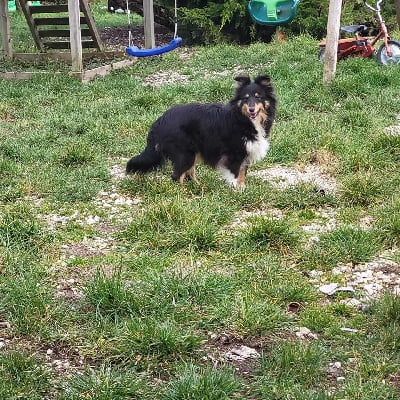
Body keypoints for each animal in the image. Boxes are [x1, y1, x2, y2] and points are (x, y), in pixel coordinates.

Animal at [126, 75, 276, 189]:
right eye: (245, 98)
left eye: (258, 97)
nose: (251, 109)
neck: (243, 119)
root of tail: (160, 120)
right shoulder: (235, 153)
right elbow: (235, 175)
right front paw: (235, 191)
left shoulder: (246, 152)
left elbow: (242, 174)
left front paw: (242, 189)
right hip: (184, 153)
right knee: (177, 176)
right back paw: (184, 194)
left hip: (193, 152)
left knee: (189, 173)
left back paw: (198, 187)